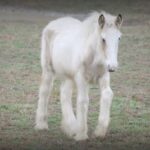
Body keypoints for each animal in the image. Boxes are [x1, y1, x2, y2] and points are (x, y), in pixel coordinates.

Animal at [35, 11, 123, 141]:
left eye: (119, 38)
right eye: (103, 39)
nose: (112, 66)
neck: (94, 57)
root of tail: (54, 22)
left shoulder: (103, 75)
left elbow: (107, 94)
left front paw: (99, 132)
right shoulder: (81, 77)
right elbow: (83, 100)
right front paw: (81, 135)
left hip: (68, 76)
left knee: (64, 94)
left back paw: (71, 127)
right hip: (48, 69)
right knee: (45, 91)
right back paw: (42, 124)